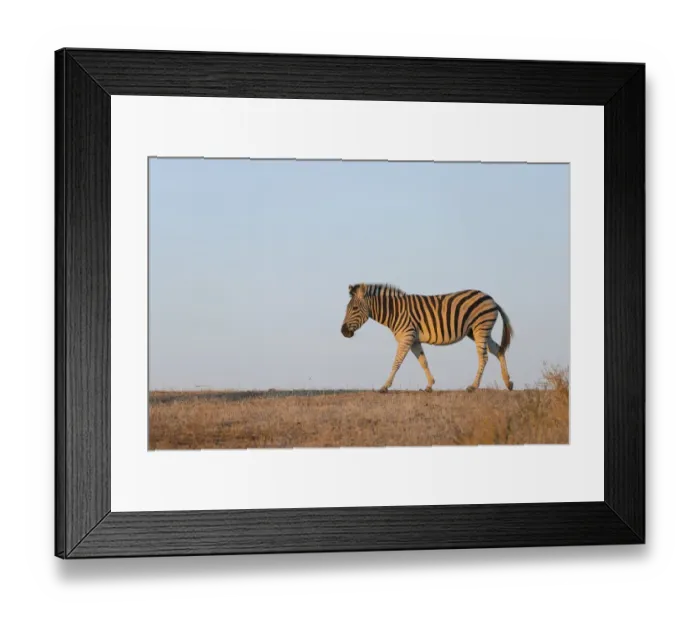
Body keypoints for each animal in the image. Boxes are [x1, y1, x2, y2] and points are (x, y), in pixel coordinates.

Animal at [341, 283, 514, 393]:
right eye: (347, 308)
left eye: (354, 308)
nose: (343, 332)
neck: (394, 312)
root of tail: (491, 298)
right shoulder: (414, 339)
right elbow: (423, 361)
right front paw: (430, 385)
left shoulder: (407, 336)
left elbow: (396, 362)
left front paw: (385, 386)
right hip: (477, 331)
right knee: (498, 350)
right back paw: (508, 382)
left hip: (480, 328)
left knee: (483, 357)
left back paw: (473, 386)